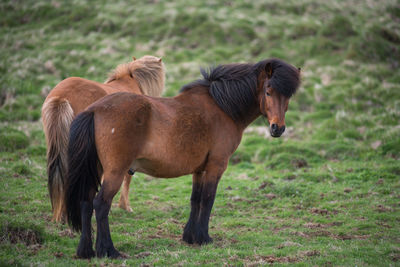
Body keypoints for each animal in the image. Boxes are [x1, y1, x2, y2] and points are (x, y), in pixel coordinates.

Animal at [64, 57, 300, 258]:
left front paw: (190, 237)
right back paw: (108, 250)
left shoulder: (199, 169)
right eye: (268, 91)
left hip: (97, 169)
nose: (277, 128)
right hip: (115, 172)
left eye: (288, 96)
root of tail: (95, 110)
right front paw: (204, 238)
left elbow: (195, 199)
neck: (221, 107)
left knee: (86, 202)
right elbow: (208, 199)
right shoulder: (216, 166)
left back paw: (85, 251)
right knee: (101, 204)